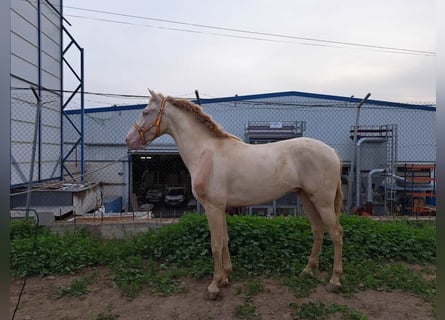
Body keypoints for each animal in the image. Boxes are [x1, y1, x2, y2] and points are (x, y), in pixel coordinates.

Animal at [125, 90, 344, 300]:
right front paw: (226, 276)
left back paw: (334, 281)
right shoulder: (221, 208)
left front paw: (214, 286)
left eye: (145, 112)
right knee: (318, 230)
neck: (206, 152)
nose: (129, 139)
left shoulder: (212, 207)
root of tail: (332, 151)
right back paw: (308, 271)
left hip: (322, 202)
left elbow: (215, 244)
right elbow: (224, 240)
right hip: (307, 198)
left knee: (336, 233)